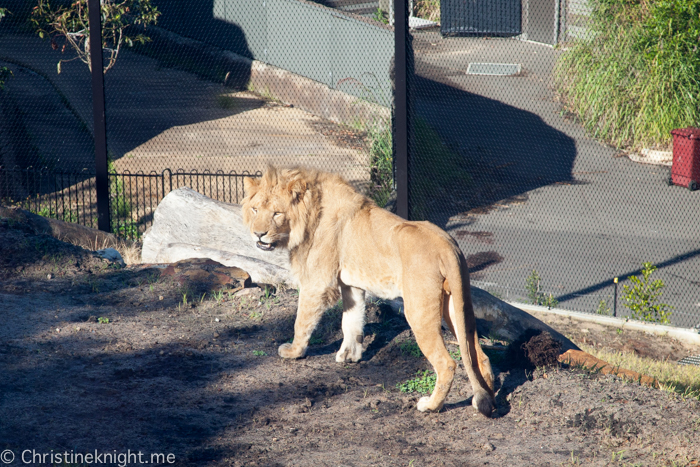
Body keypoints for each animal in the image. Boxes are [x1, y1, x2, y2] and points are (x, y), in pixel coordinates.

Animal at [243, 166, 494, 414]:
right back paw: (483, 398)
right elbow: (351, 321)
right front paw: (350, 356)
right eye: (255, 209)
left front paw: (294, 352)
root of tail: (447, 244)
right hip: (455, 305)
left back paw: (430, 405)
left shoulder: (317, 282)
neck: (310, 213)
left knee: (447, 363)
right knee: (478, 355)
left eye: (276, 213)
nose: (258, 234)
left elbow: (302, 321)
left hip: (419, 310)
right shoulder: (351, 286)